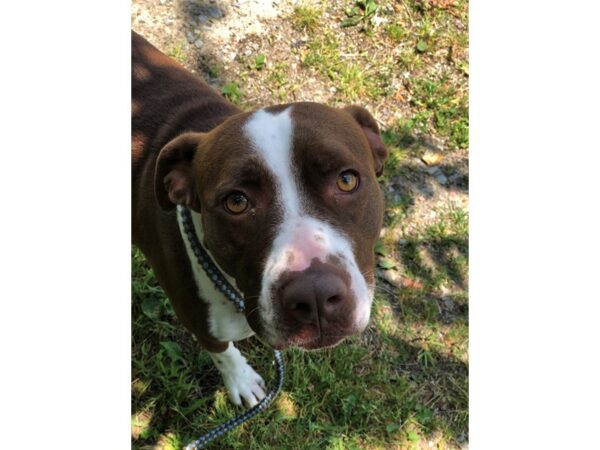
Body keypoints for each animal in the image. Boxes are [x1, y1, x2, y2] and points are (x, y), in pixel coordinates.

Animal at [131, 29, 390, 406]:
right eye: (236, 202)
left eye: (346, 180)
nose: (314, 295)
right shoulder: (199, 324)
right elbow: (223, 352)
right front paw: (241, 381)